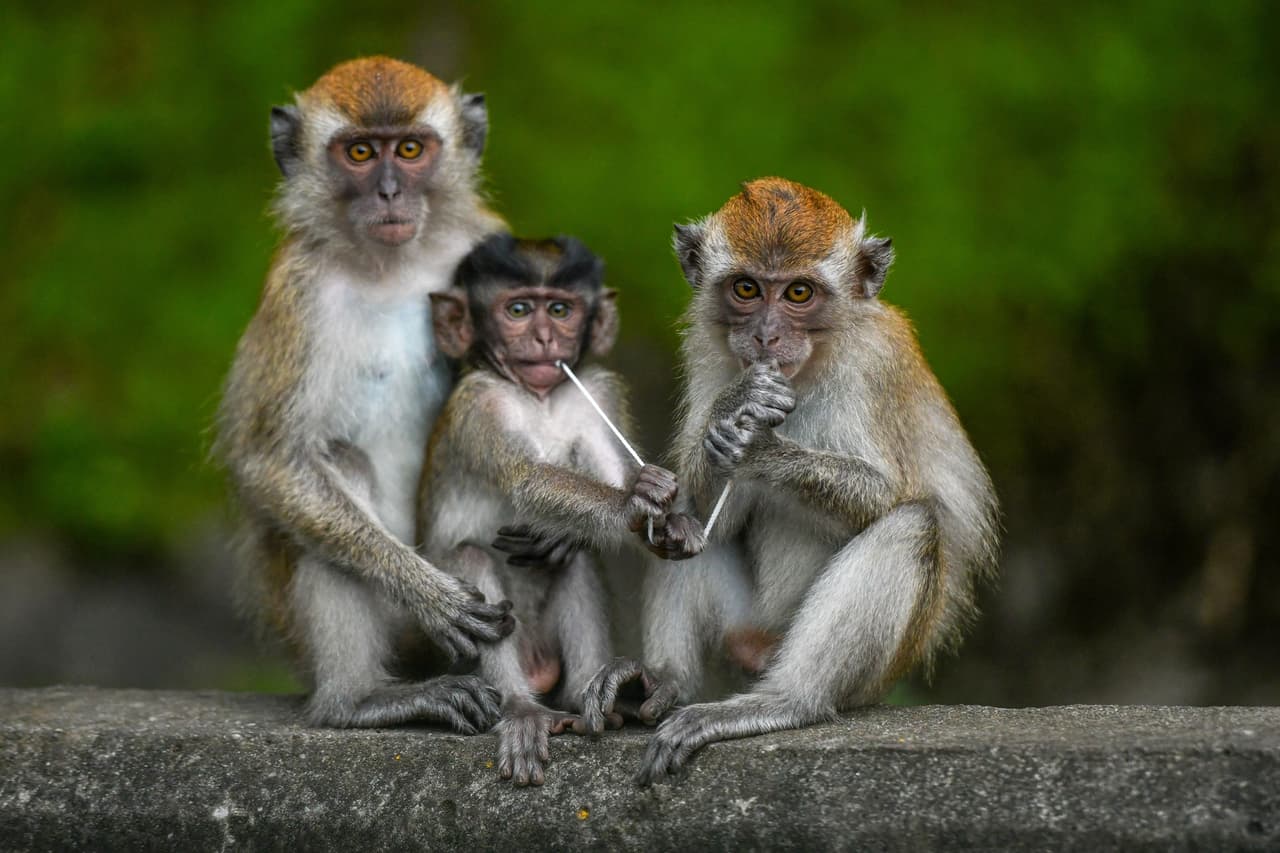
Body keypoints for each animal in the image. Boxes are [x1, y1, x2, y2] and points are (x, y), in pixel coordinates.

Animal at [216, 57, 516, 733]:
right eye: (359, 152)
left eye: (409, 150)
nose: (388, 193)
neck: (390, 265)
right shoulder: (296, 290)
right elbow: (273, 461)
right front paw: (430, 594)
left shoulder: (489, 238)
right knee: (335, 470)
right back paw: (359, 701)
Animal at [418, 233, 706, 785]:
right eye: (517, 310)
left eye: (559, 309)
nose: (545, 339)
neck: (539, 397)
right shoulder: (479, 402)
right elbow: (528, 480)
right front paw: (633, 500)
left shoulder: (593, 390)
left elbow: (609, 474)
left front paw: (664, 514)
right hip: (451, 650)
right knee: (470, 559)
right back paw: (520, 708)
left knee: (574, 563)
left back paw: (592, 696)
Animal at [579, 178, 1000, 784]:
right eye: (747, 288)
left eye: (799, 293)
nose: (766, 337)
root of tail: (763, 649)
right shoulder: (709, 354)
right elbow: (704, 510)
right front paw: (733, 409)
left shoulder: (873, 367)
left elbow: (887, 495)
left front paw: (760, 448)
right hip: (742, 625)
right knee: (678, 530)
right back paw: (662, 679)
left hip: (867, 672)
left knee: (913, 525)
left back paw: (784, 700)